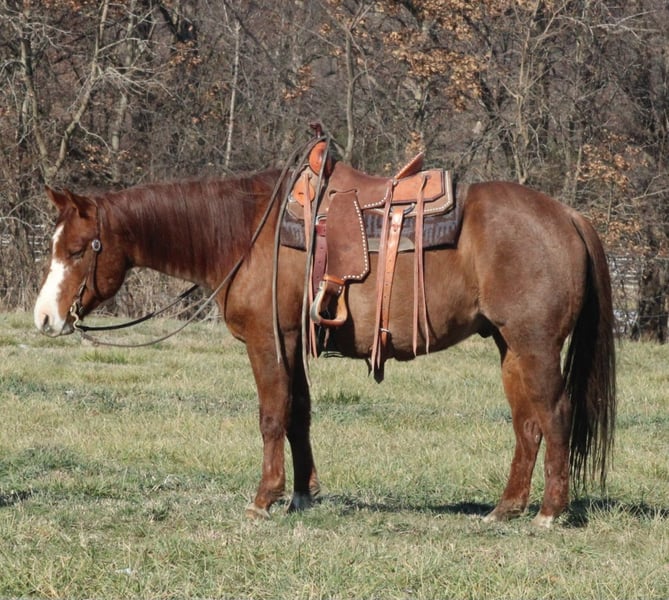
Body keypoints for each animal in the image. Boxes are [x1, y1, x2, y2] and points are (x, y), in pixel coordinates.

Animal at [33, 158, 616, 528]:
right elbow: (299, 415)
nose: (44, 318)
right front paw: (302, 494)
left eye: (80, 248)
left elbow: (272, 415)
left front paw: (264, 498)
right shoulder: (294, 343)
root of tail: (568, 216)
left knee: (555, 416)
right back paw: (507, 508)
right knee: (528, 424)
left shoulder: (268, 340)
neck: (246, 232)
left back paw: (549, 513)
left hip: (534, 345)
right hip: (510, 347)